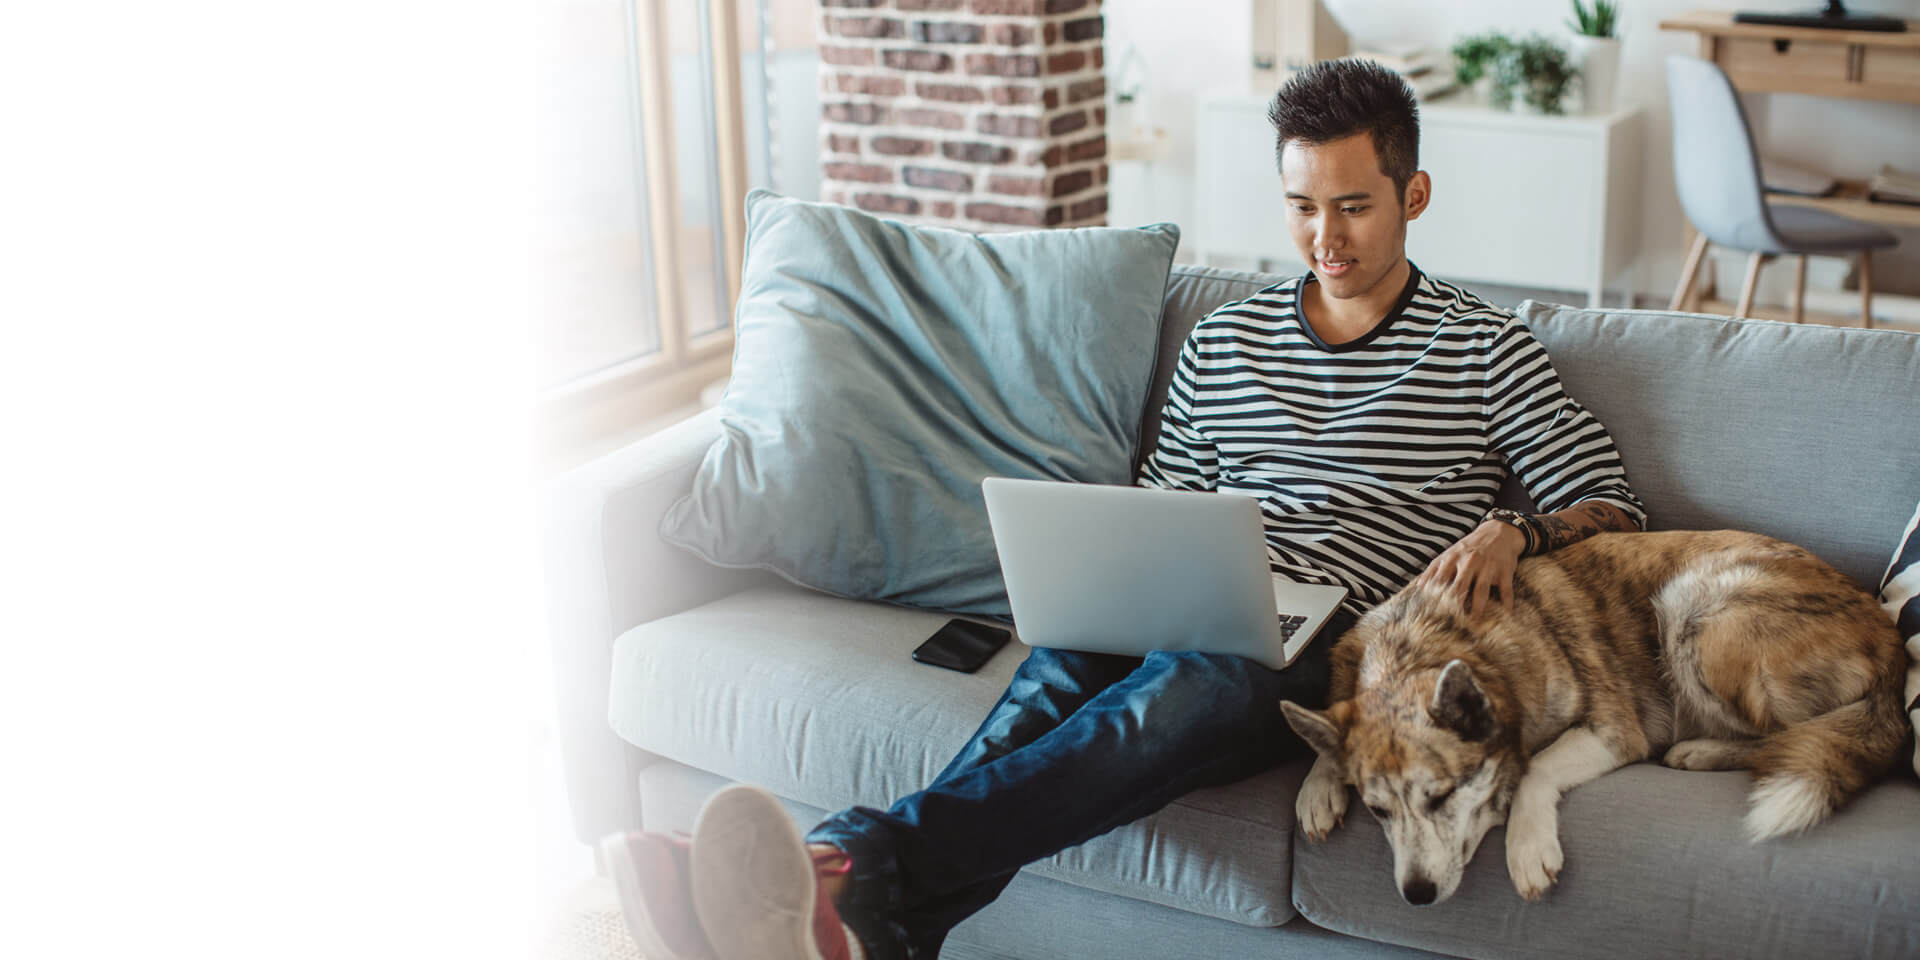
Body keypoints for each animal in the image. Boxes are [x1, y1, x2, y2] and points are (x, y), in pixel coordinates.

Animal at [1274, 529, 1904, 902]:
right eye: (1377, 811)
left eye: (1442, 796)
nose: (1417, 894)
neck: (1430, 643)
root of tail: (1893, 645)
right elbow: (1328, 733)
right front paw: (1319, 786)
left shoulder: (1613, 730)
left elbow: (1535, 767)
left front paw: (1527, 847)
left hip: (1694, 605)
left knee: (1784, 735)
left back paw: (1698, 750)